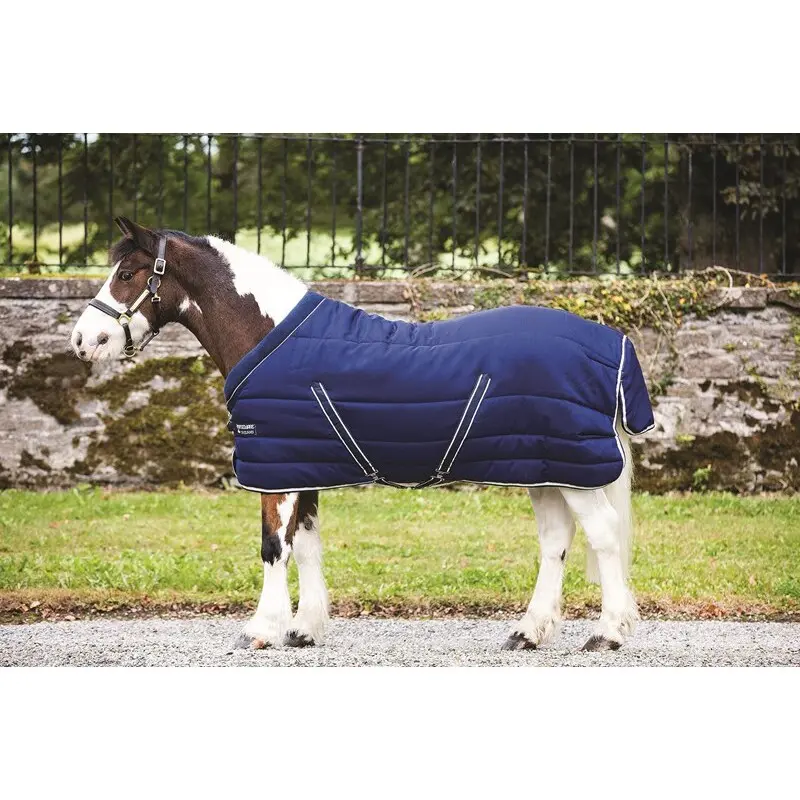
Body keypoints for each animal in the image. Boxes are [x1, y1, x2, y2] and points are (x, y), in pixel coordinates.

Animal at [70, 216, 651, 653]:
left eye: (127, 272)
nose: (82, 340)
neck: (269, 335)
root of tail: (613, 344)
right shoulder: (300, 466)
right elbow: (305, 546)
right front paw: (304, 629)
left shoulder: (276, 469)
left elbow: (273, 547)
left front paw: (261, 629)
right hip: (545, 468)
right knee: (556, 541)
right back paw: (528, 632)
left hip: (571, 470)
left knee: (602, 535)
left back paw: (607, 634)